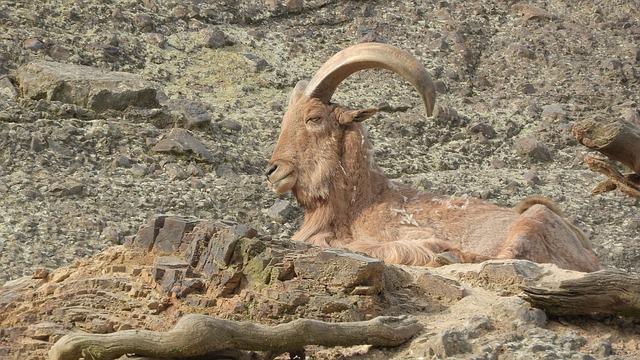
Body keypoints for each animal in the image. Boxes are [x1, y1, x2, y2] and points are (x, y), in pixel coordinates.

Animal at [264, 42, 600, 272]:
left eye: (314, 118)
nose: (273, 170)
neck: (362, 203)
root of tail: (589, 255)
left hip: (533, 220)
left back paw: (445, 253)